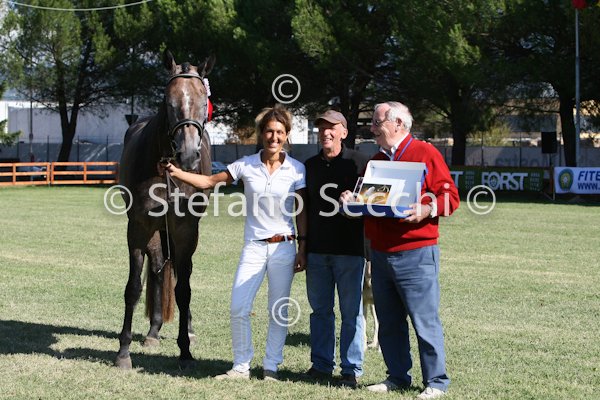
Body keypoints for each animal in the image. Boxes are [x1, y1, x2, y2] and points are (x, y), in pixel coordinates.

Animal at [115, 49, 215, 370]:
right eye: (169, 102)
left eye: (203, 103)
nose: (188, 154)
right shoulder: (138, 227)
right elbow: (134, 287)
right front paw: (123, 352)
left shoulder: (185, 230)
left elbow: (183, 290)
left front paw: (185, 350)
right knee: (159, 267)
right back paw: (153, 330)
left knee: (182, 274)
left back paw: (188, 329)